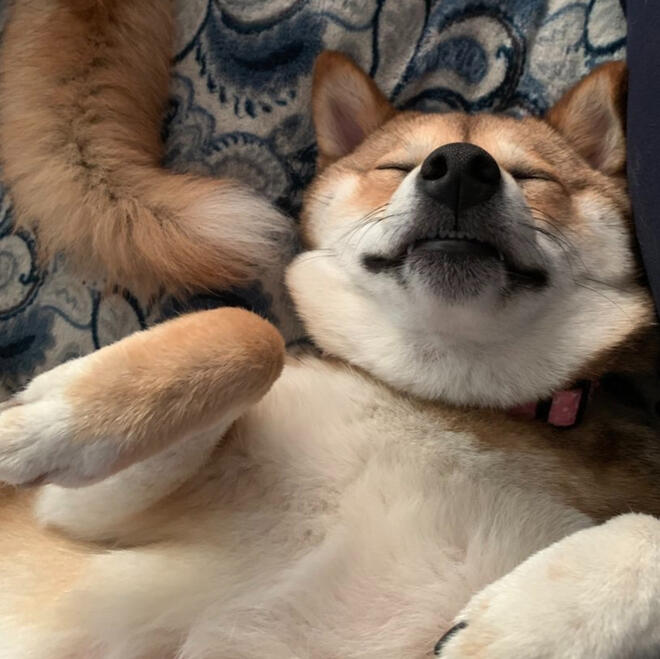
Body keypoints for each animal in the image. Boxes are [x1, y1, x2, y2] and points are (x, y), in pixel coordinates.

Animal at [0, 40, 660, 659]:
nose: (461, 167)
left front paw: (525, 628)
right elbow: (250, 333)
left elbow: (646, 527)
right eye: (397, 166)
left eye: (532, 176)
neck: (451, 392)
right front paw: (35, 422)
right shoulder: (82, 514)